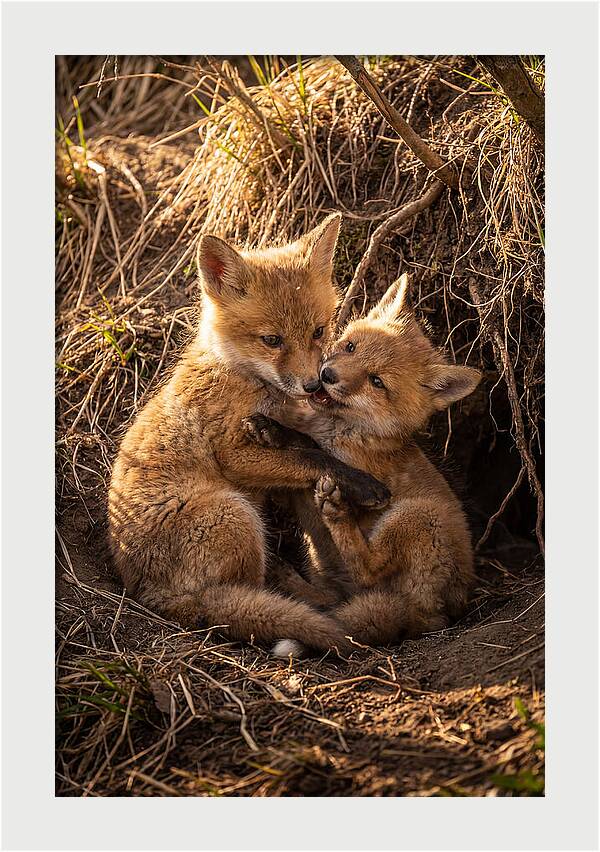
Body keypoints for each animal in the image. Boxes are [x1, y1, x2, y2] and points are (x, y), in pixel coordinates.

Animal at [107, 213, 391, 657]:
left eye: (318, 331)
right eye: (272, 340)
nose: (313, 385)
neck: (240, 375)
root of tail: (150, 596)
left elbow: (305, 443)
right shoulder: (234, 454)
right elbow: (312, 457)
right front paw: (362, 484)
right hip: (234, 513)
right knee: (249, 595)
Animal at [244, 273, 482, 658]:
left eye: (377, 382)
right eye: (351, 347)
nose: (327, 375)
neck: (340, 429)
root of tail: (439, 615)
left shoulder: (351, 467)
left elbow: (313, 449)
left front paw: (279, 433)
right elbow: (302, 443)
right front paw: (271, 428)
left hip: (417, 516)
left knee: (368, 569)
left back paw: (336, 514)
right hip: (330, 571)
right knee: (331, 600)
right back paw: (289, 579)